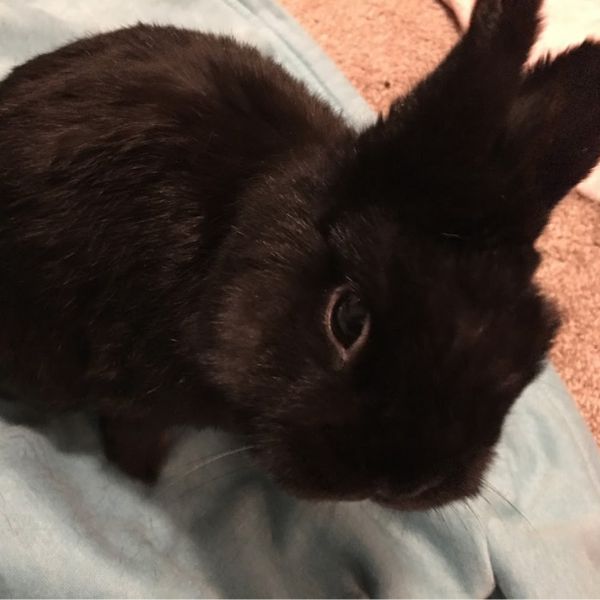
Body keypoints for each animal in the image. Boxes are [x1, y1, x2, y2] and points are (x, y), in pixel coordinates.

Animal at [1, 0, 600, 510]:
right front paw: (144, 477)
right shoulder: (129, 388)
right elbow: (132, 428)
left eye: (531, 347)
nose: (407, 482)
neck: (231, 236)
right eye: (348, 318)